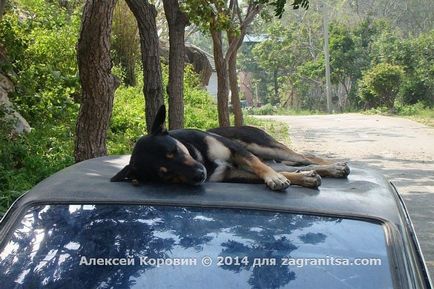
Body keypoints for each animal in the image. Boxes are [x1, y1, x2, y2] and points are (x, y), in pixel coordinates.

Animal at [111, 104, 350, 190]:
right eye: (165, 174)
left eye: (175, 151)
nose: (200, 175)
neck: (201, 156)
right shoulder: (231, 173)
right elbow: (275, 173)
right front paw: (300, 179)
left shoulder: (237, 151)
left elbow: (263, 169)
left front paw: (275, 179)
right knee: (296, 166)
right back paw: (318, 173)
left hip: (263, 146)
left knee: (305, 157)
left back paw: (335, 165)